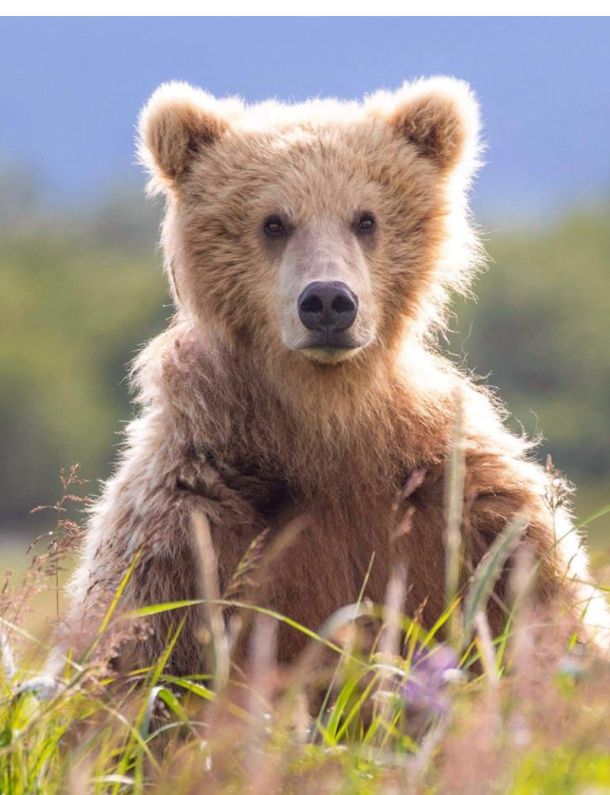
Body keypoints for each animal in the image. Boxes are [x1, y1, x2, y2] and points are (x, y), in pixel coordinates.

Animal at [44, 77, 608, 683]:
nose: (329, 302)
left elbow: (553, 621)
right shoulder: (191, 526)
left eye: (366, 219)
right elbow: (136, 658)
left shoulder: (472, 514)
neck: (327, 424)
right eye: (273, 222)